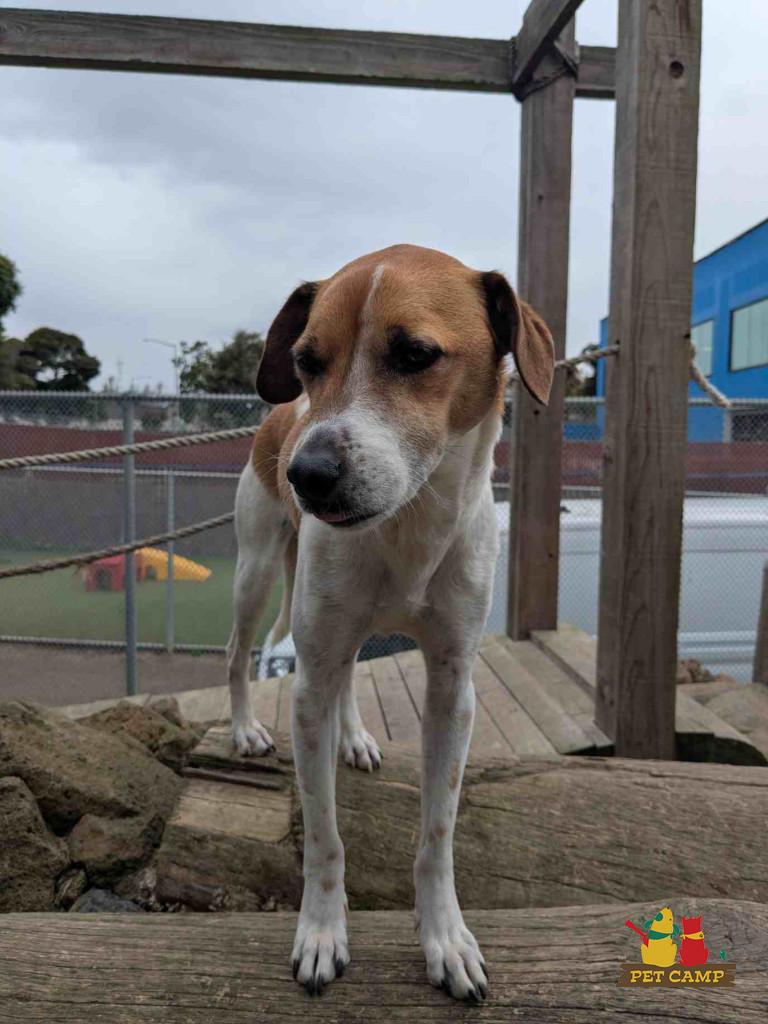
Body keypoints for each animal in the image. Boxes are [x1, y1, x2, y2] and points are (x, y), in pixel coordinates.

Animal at [226, 243, 554, 1000]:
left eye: (414, 354)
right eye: (308, 360)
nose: (307, 474)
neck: (409, 528)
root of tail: (280, 419)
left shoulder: (453, 688)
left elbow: (438, 835)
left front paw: (445, 939)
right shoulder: (308, 686)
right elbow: (324, 837)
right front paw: (322, 933)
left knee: (348, 678)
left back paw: (354, 739)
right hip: (256, 574)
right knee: (235, 655)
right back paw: (246, 729)